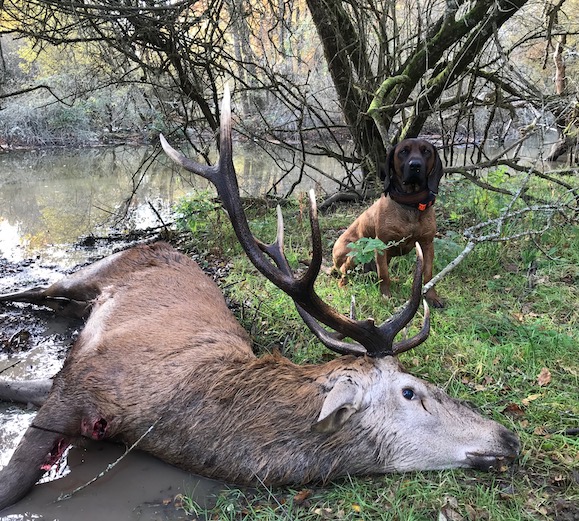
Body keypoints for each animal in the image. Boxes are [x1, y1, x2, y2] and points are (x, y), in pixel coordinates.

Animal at [334, 139, 446, 308]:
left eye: (426, 151)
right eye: (403, 151)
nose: (415, 165)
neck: (411, 204)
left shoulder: (427, 244)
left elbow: (428, 274)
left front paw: (432, 297)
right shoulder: (381, 246)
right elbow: (384, 274)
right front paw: (386, 297)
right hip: (354, 253)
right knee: (344, 275)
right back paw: (346, 288)